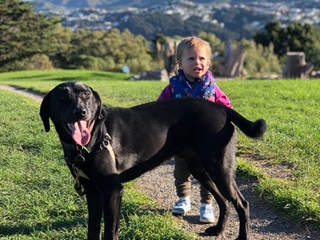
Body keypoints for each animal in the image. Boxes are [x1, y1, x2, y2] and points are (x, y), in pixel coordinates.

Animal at [39, 81, 264, 239]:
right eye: (62, 96)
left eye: (86, 95)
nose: (81, 112)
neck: (88, 142)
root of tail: (221, 108)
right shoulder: (92, 191)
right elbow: (93, 230)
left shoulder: (112, 190)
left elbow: (110, 231)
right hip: (199, 168)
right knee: (224, 200)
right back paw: (217, 230)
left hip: (219, 167)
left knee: (242, 203)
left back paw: (241, 237)